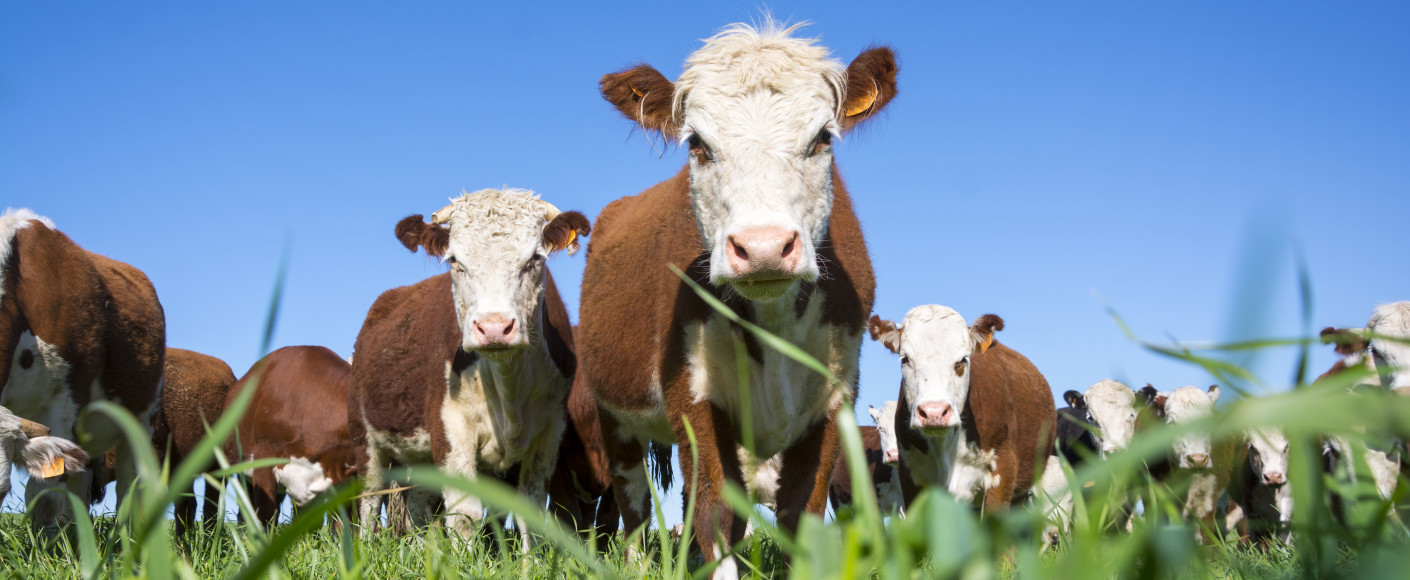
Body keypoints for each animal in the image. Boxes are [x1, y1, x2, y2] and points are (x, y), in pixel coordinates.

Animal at [0, 208, 164, 536]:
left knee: (128, 485)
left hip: (140, 419)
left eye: (0, 492)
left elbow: (45, 497)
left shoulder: (65, 401)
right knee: (80, 484)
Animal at [352, 189, 595, 547]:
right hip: (366, 437)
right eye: (455, 260)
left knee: (417, 505)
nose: (493, 327)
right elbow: (465, 515)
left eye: (535, 258)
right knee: (370, 498)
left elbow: (529, 512)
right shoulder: (450, 428)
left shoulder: (550, 432)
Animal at [580, 20, 891, 575]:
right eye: (697, 144)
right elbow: (716, 513)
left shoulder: (835, 397)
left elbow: (801, 514)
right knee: (631, 500)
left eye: (822, 138)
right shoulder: (691, 392)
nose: (763, 247)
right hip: (613, 413)